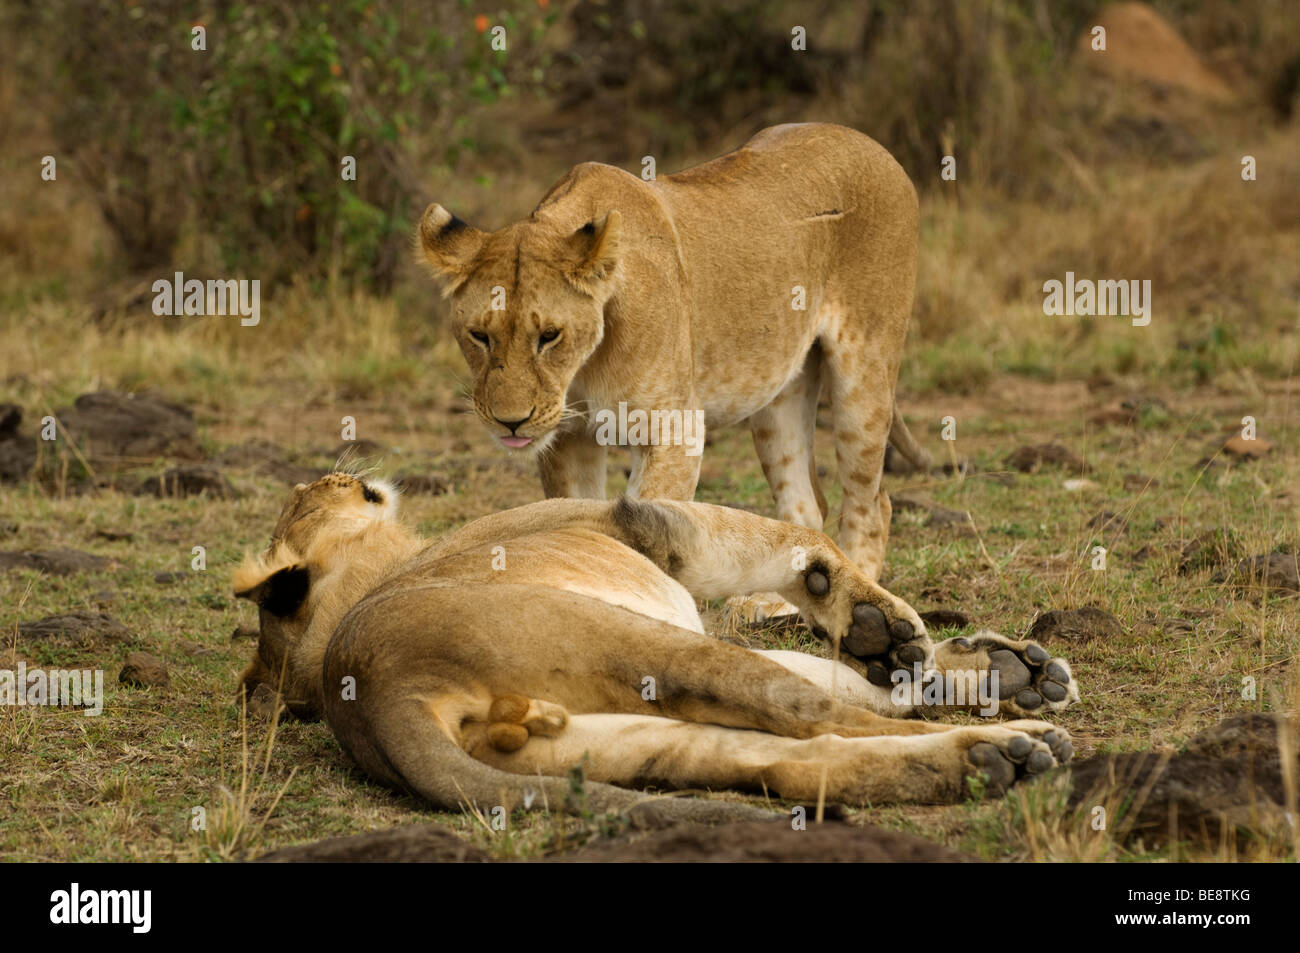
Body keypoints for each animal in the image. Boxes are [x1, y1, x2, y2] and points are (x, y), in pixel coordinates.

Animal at [235, 473, 1078, 824]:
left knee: (793, 756)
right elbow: (801, 545)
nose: (345, 470)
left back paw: (990, 757)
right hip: (638, 641)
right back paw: (1018, 743)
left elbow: (860, 675)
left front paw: (1008, 667)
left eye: (308, 490)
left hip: (619, 735)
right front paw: (883, 625)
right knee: (811, 713)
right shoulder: (650, 525)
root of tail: (372, 692)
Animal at [418, 123, 930, 601]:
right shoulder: (568, 438)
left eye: (549, 336)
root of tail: (870, 143)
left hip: (864, 374)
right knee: (806, 503)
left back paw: (863, 597)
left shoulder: (674, 427)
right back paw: (770, 605)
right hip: (780, 396)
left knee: (873, 503)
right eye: (479, 336)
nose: (511, 423)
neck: (583, 368)